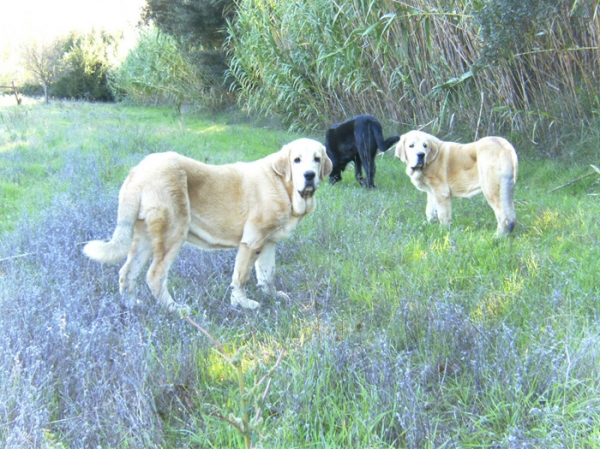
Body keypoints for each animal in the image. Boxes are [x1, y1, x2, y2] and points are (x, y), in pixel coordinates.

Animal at [84, 138, 332, 314]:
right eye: (297, 160)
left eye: (317, 159)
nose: (309, 175)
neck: (283, 184)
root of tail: (139, 170)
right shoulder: (251, 241)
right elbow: (241, 277)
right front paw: (243, 304)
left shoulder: (269, 243)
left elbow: (266, 275)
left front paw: (272, 296)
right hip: (173, 233)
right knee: (154, 276)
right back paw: (176, 310)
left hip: (145, 238)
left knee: (127, 273)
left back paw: (132, 305)